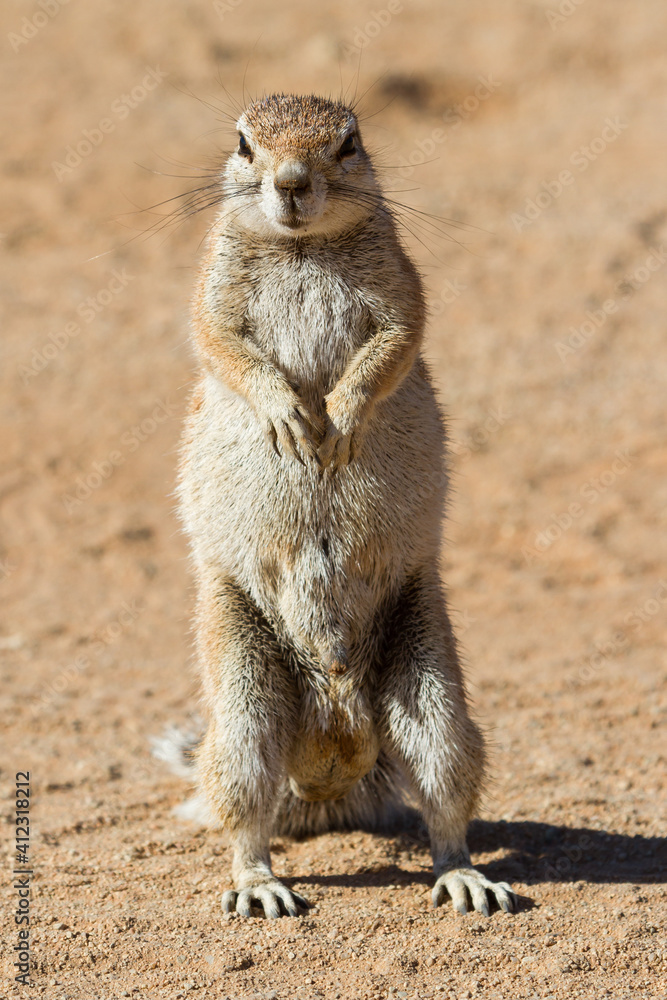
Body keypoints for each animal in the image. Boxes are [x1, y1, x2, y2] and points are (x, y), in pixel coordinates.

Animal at [168, 93, 517, 920]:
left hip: (431, 689)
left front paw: (343, 416)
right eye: (243, 144)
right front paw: (290, 416)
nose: (292, 183)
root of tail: (329, 757)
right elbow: (223, 345)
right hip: (242, 694)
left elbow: (392, 344)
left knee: (444, 799)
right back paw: (258, 885)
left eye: (349, 142)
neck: (303, 249)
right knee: (244, 811)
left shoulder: (400, 289)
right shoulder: (213, 297)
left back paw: (464, 876)